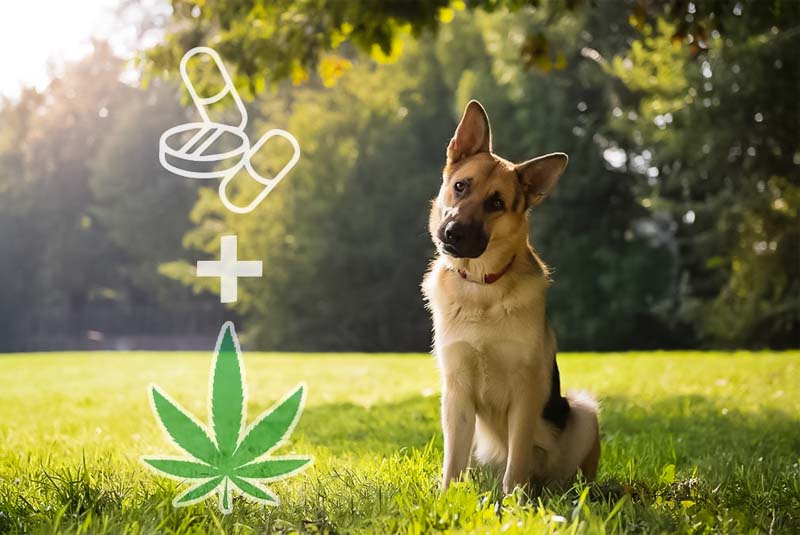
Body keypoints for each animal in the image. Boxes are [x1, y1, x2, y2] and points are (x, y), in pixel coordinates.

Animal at [422, 100, 596, 494]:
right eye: (460, 186)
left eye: (496, 203)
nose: (452, 233)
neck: (481, 287)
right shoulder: (456, 394)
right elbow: (452, 462)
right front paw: (447, 497)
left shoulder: (525, 394)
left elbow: (516, 461)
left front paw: (515, 500)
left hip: (583, 411)